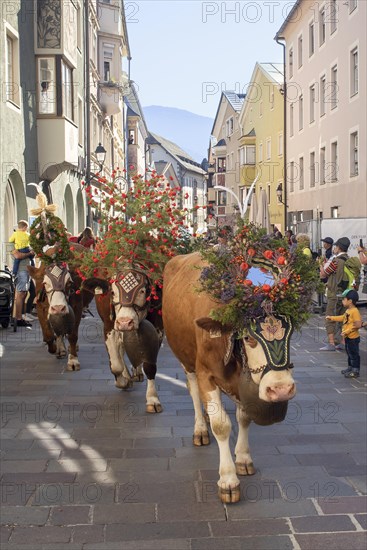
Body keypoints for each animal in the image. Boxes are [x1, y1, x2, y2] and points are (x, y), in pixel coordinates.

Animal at [85, 270, 164, 416]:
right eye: (112, 292)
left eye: (143, 291)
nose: (125, 322)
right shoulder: (109, 326)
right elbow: (116, 365)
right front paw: (123, 381)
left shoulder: (158, 328)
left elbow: (150, 366)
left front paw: (152, 400)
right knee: (121, 350)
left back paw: (137, 372)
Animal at [162, 224, 320, 504]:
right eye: (248, 337)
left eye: (291, 333)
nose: (281, 389)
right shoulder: (206, 373)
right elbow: (221, 424)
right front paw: (228, 479)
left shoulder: (242, 382)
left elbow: (244, 417)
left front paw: (243, 459)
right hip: (186, 361)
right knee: (193, 393)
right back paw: (200, 429)